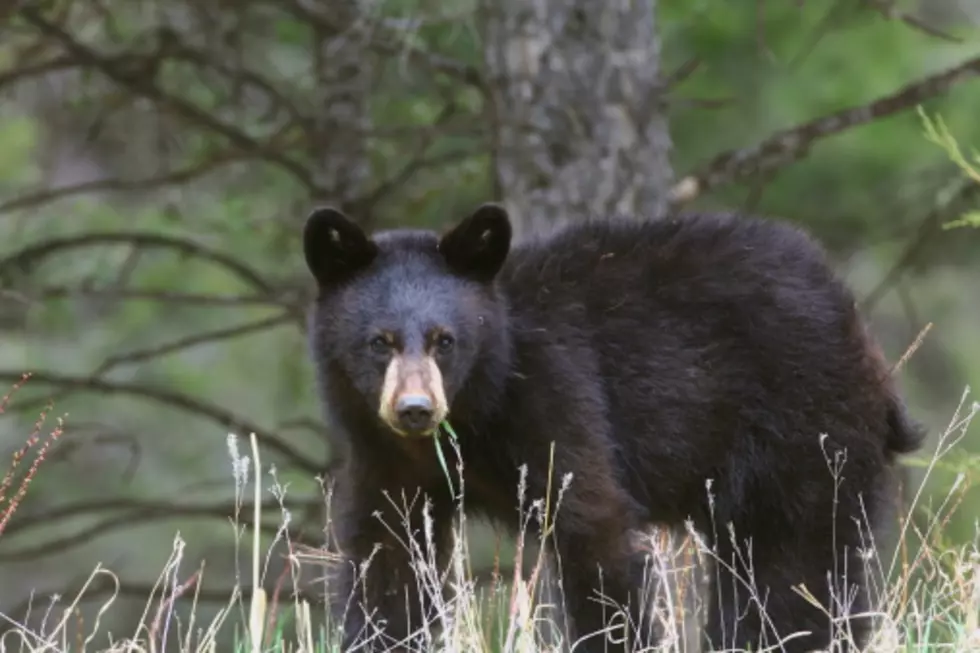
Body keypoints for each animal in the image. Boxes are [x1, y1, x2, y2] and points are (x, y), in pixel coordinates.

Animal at [302, 204, 924, 652]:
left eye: (443, 340)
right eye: (379, 341)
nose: (414, 409)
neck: (479, 410)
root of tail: (854, 318)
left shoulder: (559, 400)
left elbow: (594, 534)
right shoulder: (387, 461)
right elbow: (388, 560)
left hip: (802, 427)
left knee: (792, 564)